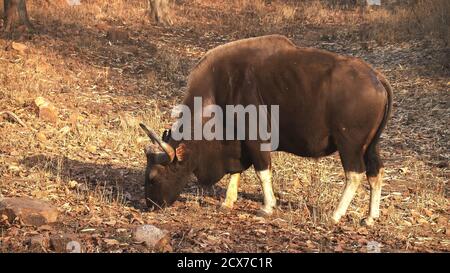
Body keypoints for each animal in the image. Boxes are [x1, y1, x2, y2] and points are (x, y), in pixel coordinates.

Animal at [140, 34, 390, 225]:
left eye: (152, 178)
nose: (149, 206)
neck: (217, 95)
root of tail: (376, 77)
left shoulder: (255, 140)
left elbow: (262, 171)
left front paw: (267, 207)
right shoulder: (237, 142)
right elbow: (236, 171)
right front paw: (228, 201)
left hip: (349, 144)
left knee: (354, 174)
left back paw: (336, 214)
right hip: (371, 146)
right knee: (375, 172)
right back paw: (370, 217)